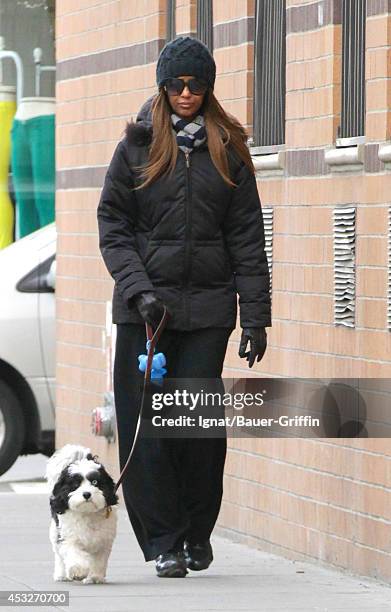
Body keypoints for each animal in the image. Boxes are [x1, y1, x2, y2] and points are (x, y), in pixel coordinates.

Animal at [45, 444, 118, 584]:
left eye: (95, 482)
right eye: (75, 485)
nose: (87, 494)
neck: (87, 513)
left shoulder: (103, 540)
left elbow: (99, 559)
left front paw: (95, 576)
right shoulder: (68, 537)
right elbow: (74, 553)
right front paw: (78, 571)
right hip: (55, 531)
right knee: (59, 555)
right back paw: (61, 575)